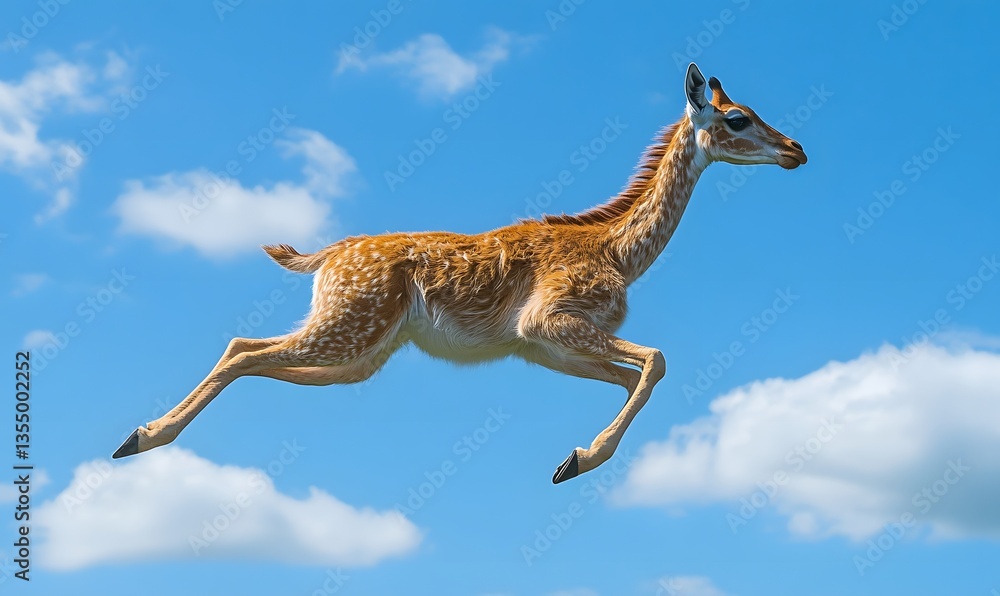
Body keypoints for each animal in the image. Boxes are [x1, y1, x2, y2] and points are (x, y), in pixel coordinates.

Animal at [113, 63, 806, 484]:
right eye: (738, 117)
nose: (797, 149)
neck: (620, 252)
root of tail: (325, 257)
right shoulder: (548, 322)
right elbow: (658, 359)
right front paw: (577, 461)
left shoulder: (546, 349)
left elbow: (633, 376)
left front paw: (573, 458)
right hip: (348, 325)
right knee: (242, 345)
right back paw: (140, 438)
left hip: (360, 351)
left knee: (260, 357)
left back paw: (139, 437)